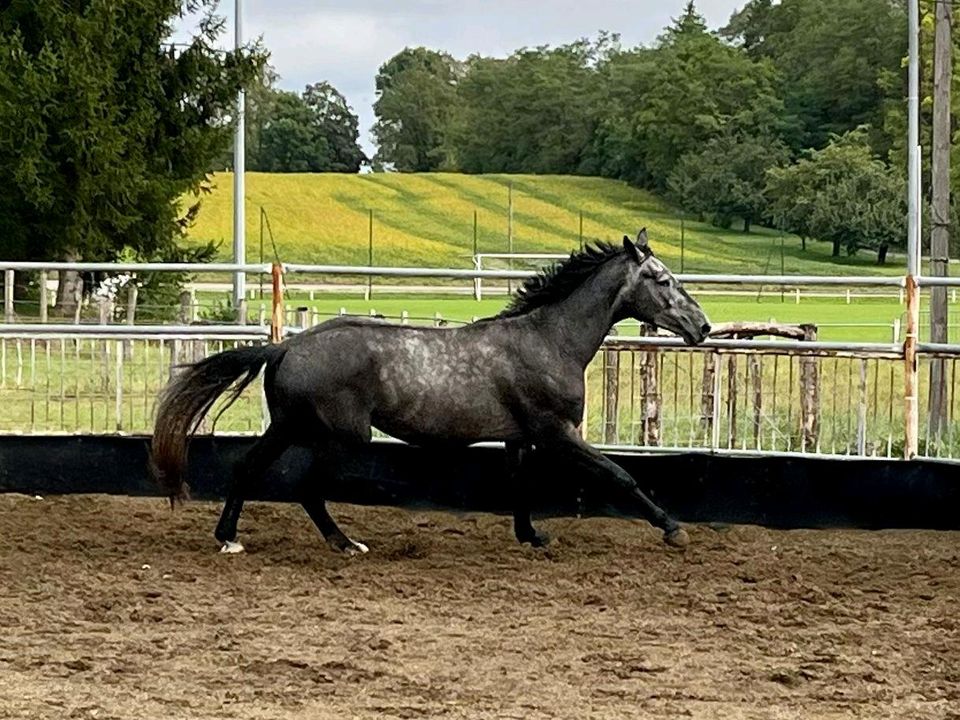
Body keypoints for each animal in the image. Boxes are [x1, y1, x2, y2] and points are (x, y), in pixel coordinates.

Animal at [154, 229, 712, 552]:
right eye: (662, 279)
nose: (703, 327)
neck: (550, 340)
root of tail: (285, 348)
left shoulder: (519, 437)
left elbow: (520, 487)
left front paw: (531, 536)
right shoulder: (557, 432)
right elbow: (621, 476)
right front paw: (673, 529)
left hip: (291, 425)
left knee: (249, 467)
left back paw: (229, 538)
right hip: (340, 436)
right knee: (307, 489)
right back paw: (345, 544)